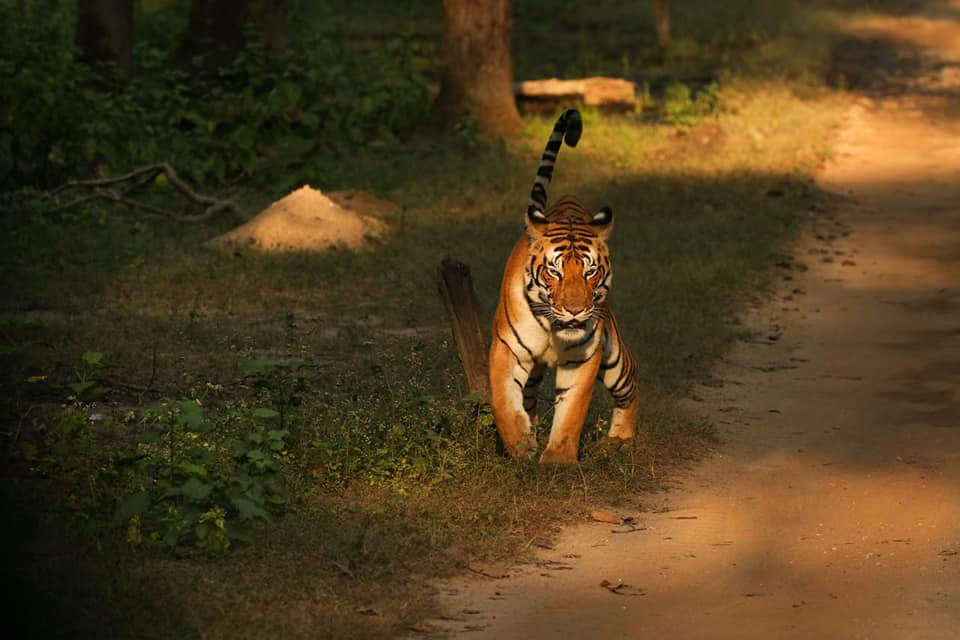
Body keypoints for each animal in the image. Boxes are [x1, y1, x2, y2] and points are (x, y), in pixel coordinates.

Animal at [488, 109, 636, 464]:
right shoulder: (506, 349)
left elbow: (571, 411)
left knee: (631, 383)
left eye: (590, 272)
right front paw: (521, 446)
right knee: (527, 395)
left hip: (614, 359)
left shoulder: (584, 357)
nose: (574, 310)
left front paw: (558, 461)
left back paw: (620, 440)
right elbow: (504, 401)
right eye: (554, 272)